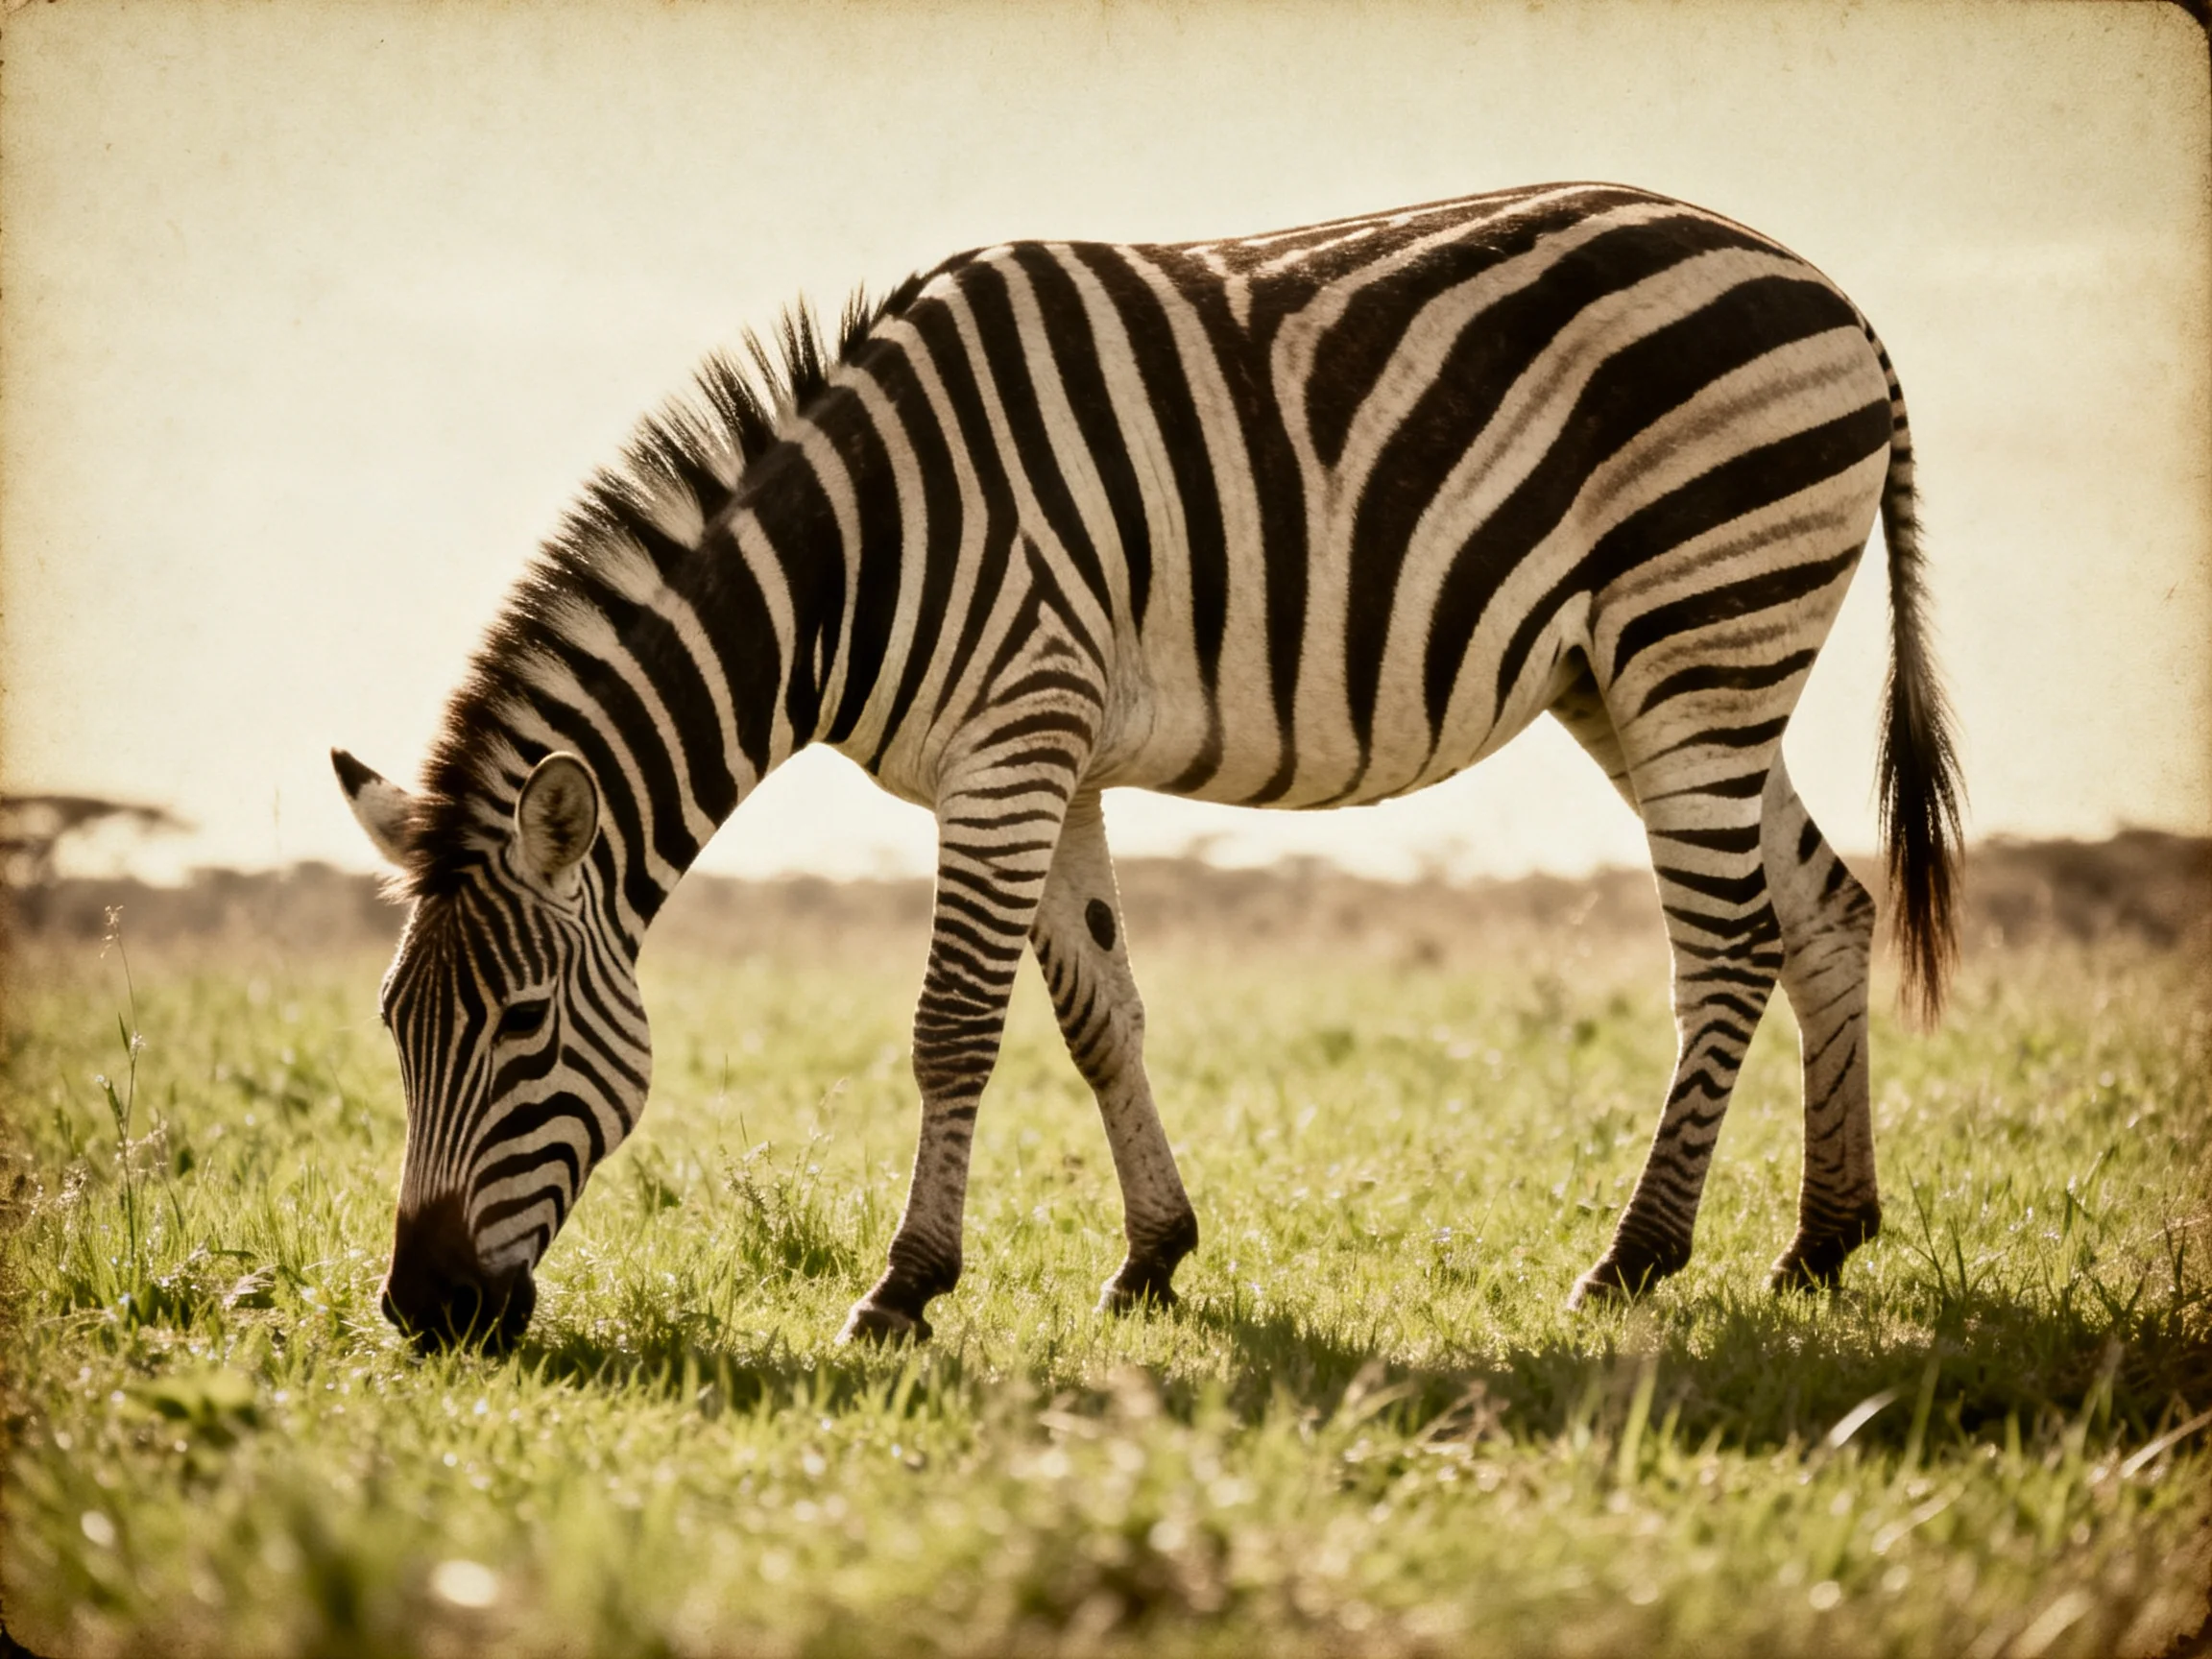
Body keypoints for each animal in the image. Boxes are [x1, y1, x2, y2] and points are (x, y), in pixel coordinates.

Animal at [334, 182, 1961, 1349]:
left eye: (525, 1025)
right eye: (393, 1027)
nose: (421, 1316)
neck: (852, 563)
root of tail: (1836, 296)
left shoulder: (1012, 740)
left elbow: (954, 1029)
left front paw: (903, 1287)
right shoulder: (1047, 760)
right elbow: (1099, 1014)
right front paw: (1154, 1261)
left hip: (1701, 629)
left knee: (1729, 944)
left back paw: (1633, 1259)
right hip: (1637, 676)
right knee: (1823, 905)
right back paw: (1821, 1240)